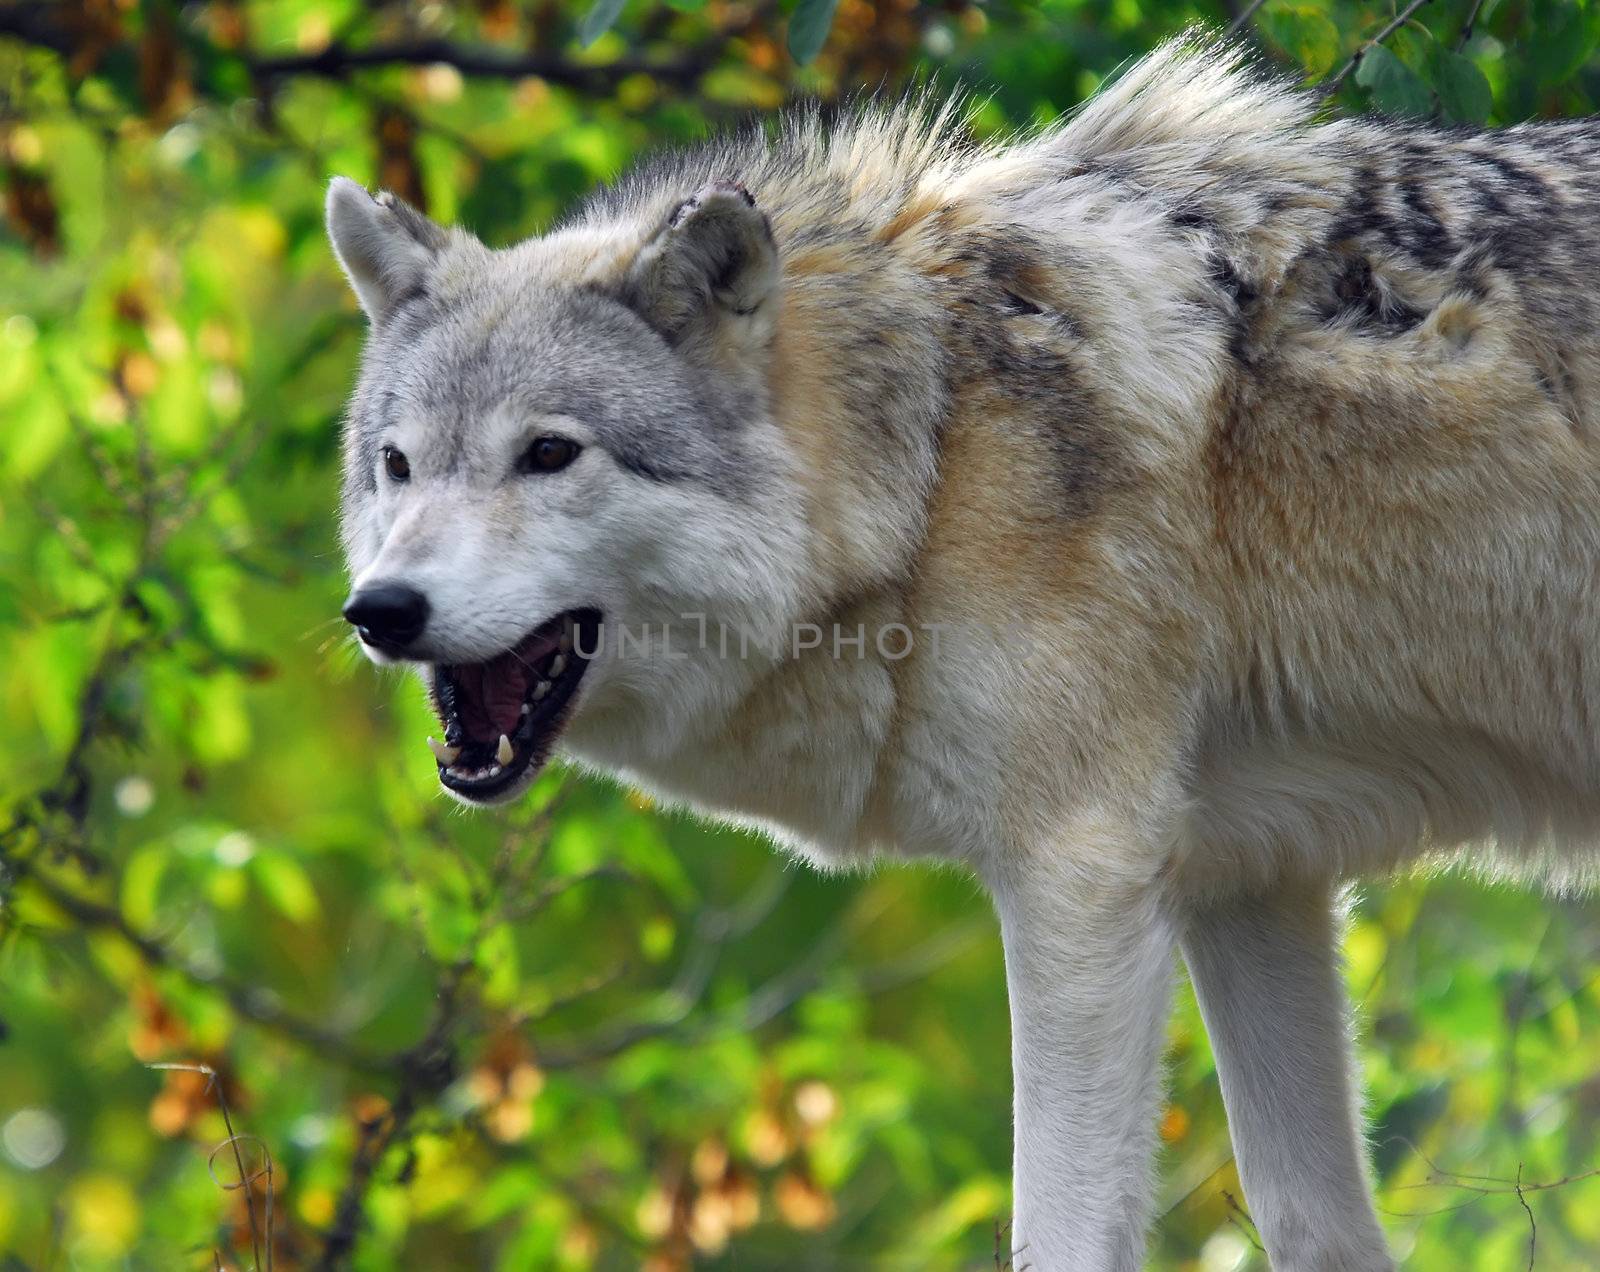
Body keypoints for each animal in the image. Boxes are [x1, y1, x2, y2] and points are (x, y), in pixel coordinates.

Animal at [321, 39, 1600, 1272]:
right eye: (397, 465)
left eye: (548, 454)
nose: (380, 610)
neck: (934, 453)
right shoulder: (1247, 876)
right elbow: (1314, 1224)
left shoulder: (1079, 874)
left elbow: (1065, 1234)